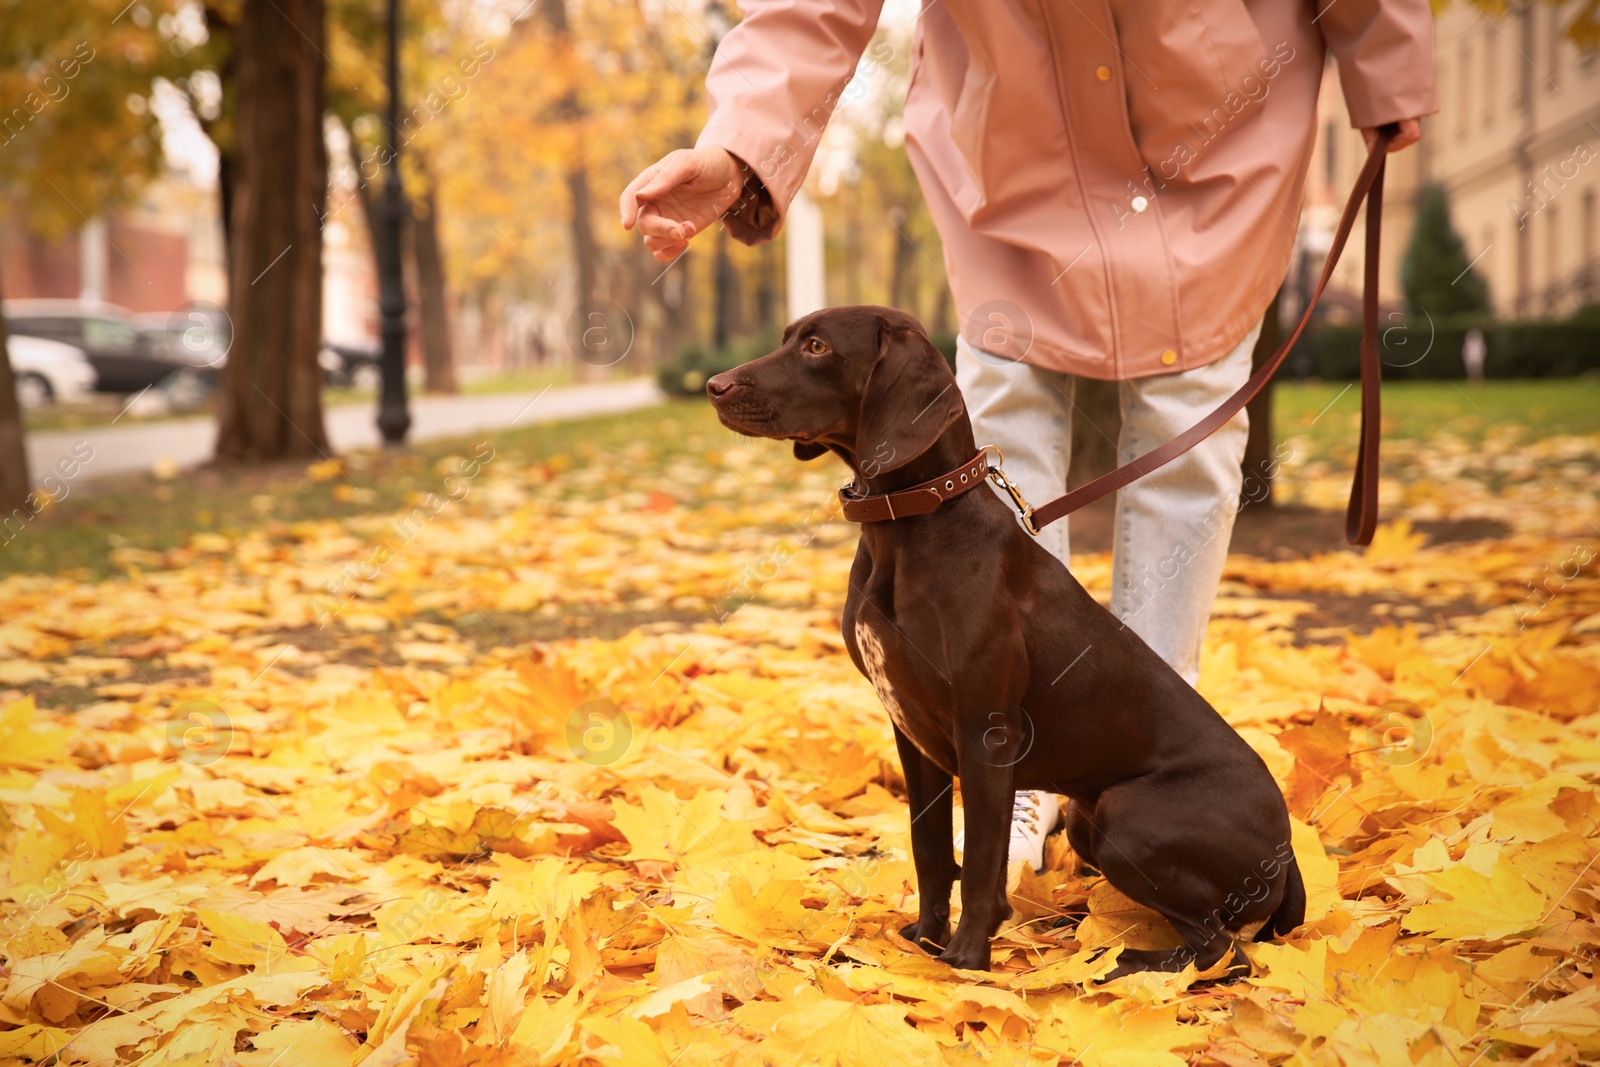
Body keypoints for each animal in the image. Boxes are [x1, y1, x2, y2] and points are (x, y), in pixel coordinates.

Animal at [707, 307, 1305, 979]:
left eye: (816, 347)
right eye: (791, 336)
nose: (713, 386)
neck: (909, 527)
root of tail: (1288, 855)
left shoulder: (985, 732)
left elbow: (980, 863)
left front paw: (965, 963)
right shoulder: (913, 736)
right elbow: (932, 850)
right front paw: (923, 943)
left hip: (1126, 817)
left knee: (1223, 951)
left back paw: (1112, 965)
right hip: (1087, 820)